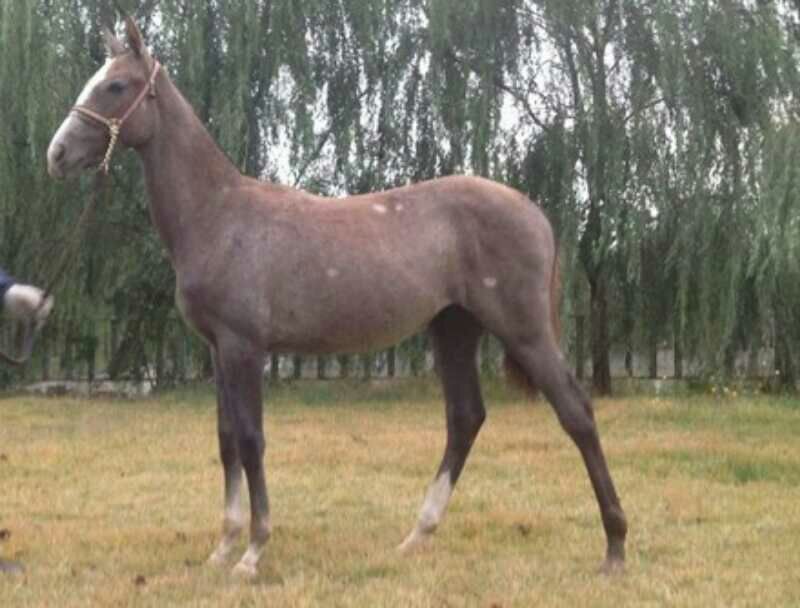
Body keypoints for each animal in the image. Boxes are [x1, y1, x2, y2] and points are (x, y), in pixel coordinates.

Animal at [46, 18, 627, 578]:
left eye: (116, 85)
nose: (57, 154)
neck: (219, 215)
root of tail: (535, 212)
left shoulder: (243, 347)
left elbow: (251, 439)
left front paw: (253, 552)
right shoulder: (217, 350)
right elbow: (226, 438)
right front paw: (223, 547)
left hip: (524, 330)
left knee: (576, 413)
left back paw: (615, 547)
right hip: (454, 328)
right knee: (465, 418)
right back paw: (417, 535)